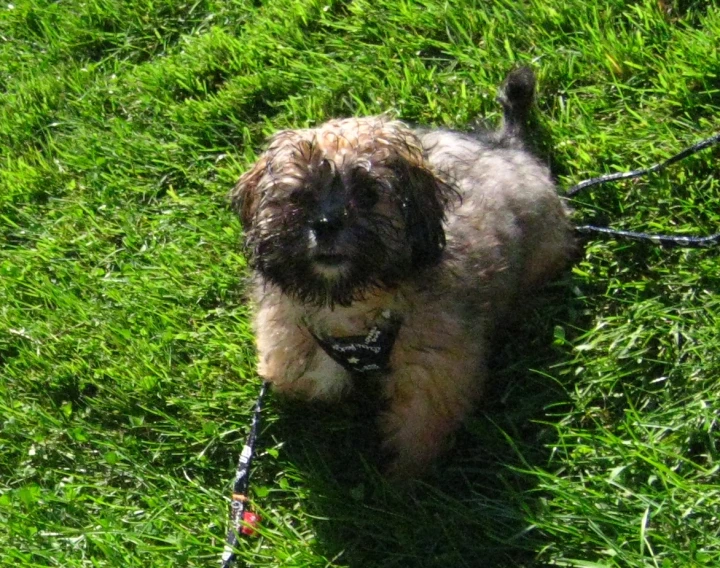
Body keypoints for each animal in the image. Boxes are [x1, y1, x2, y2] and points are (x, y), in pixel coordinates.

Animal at [231, 66, 572, 474]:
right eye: (299, 196)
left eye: (368, 194)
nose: (326, 224)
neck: (353, 305)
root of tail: (509, 146)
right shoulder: (294, 352)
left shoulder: (433, 376)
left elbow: (416, 441)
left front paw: (400, 483)